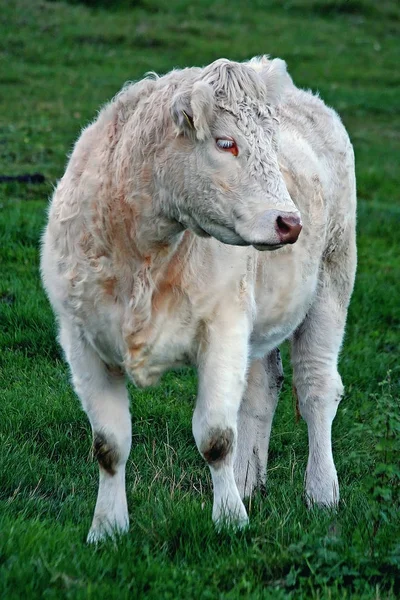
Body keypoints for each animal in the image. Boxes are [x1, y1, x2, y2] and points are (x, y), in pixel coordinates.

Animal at [40, 57, 356, 544]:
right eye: (227, 143)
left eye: (271, 143)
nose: (290, 222)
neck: (141, 256)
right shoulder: (80, 339)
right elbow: (109, 444)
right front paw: (107, 529)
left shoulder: (223, 328)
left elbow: (216, 436)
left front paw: (229, 520)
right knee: (263, 387)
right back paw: (248, 483)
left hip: (333, 280)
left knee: (317, 385)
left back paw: (321, 493)